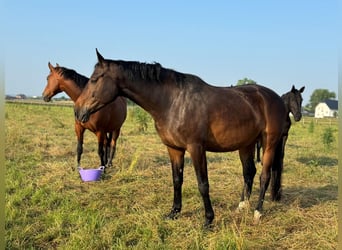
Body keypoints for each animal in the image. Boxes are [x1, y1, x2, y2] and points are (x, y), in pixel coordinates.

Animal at [74, 49, 286, 226]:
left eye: (94, 79)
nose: (78, 111)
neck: (172, 102)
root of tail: (275, 98)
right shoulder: (174, 148)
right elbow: (177, 180)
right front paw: (174, 212)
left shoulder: (196, 148)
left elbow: (203, 184)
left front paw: (208, 220)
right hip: (246, 144)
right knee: (249, 172)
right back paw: (242, 206)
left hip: (269, 143)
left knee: (264, 176)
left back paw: (257, 213)